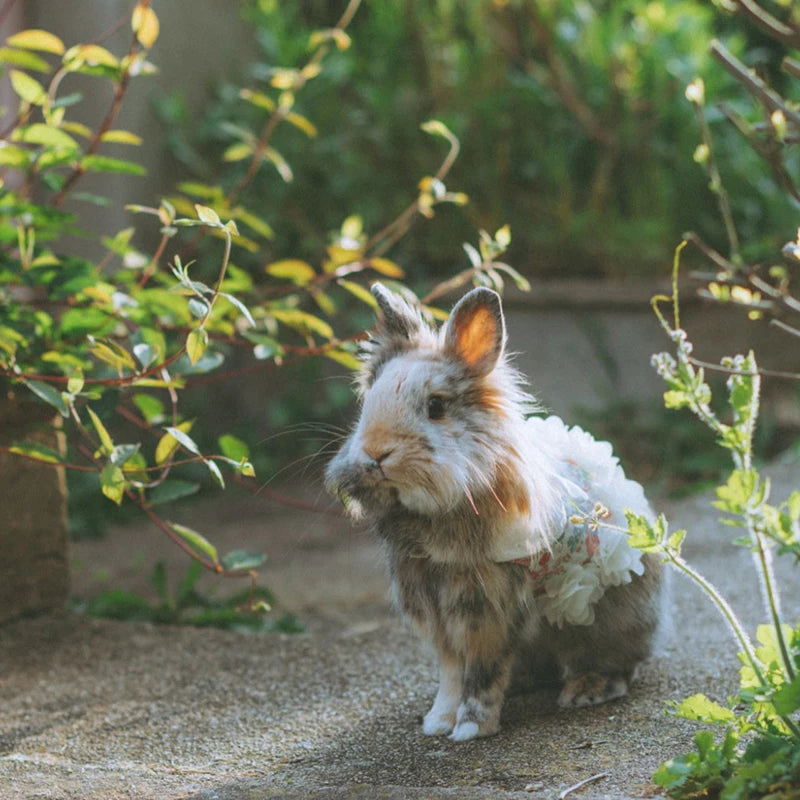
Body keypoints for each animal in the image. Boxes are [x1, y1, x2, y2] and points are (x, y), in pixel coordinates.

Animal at [325, 283, 667, 741]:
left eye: (436, 407)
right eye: (369, 402)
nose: (375, 455)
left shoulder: (486, 614)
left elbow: (481, 675)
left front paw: (471, 728)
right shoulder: (435, 617)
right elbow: (452, 675)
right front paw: (437, 722)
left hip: (606, 622)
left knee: (617, 666)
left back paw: (584, 690)